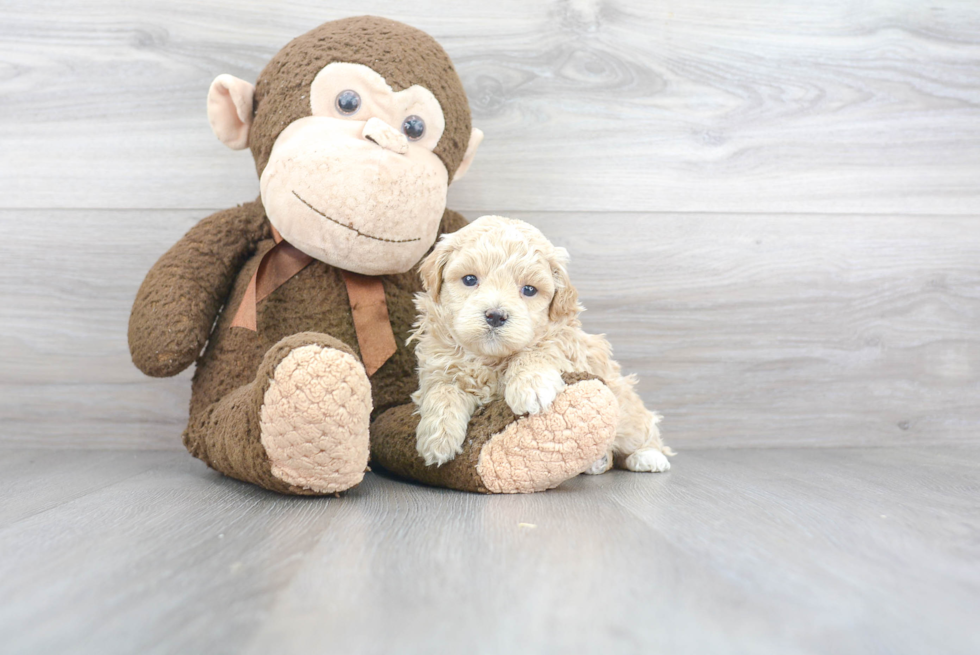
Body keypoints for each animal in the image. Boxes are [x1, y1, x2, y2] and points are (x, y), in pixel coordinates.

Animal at [408, 218, 672, 474]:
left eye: (529, 290)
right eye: (470, 279)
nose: (495, 315)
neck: (490, 357)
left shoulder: (565, 343)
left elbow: (535, 350)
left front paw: (531, 385)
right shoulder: (439, 368)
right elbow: (442, 391)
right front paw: (437, 438)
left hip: (625, 408)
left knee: (641, 429)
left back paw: (648, 456)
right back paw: (598, 462)